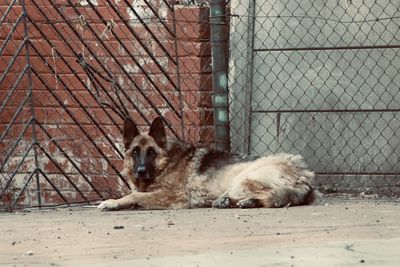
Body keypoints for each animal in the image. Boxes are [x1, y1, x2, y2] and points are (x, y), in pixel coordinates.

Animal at [97, 118, 316, 211]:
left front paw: (112, 202)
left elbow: (134, 195)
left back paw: (235, 201)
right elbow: (135, 196)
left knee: (270, 196)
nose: (141, 171)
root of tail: (303, 174)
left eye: (151, 152)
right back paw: (234, 202)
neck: (165, 163)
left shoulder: (174, 196)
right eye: (135, 152)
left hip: (244, 177)